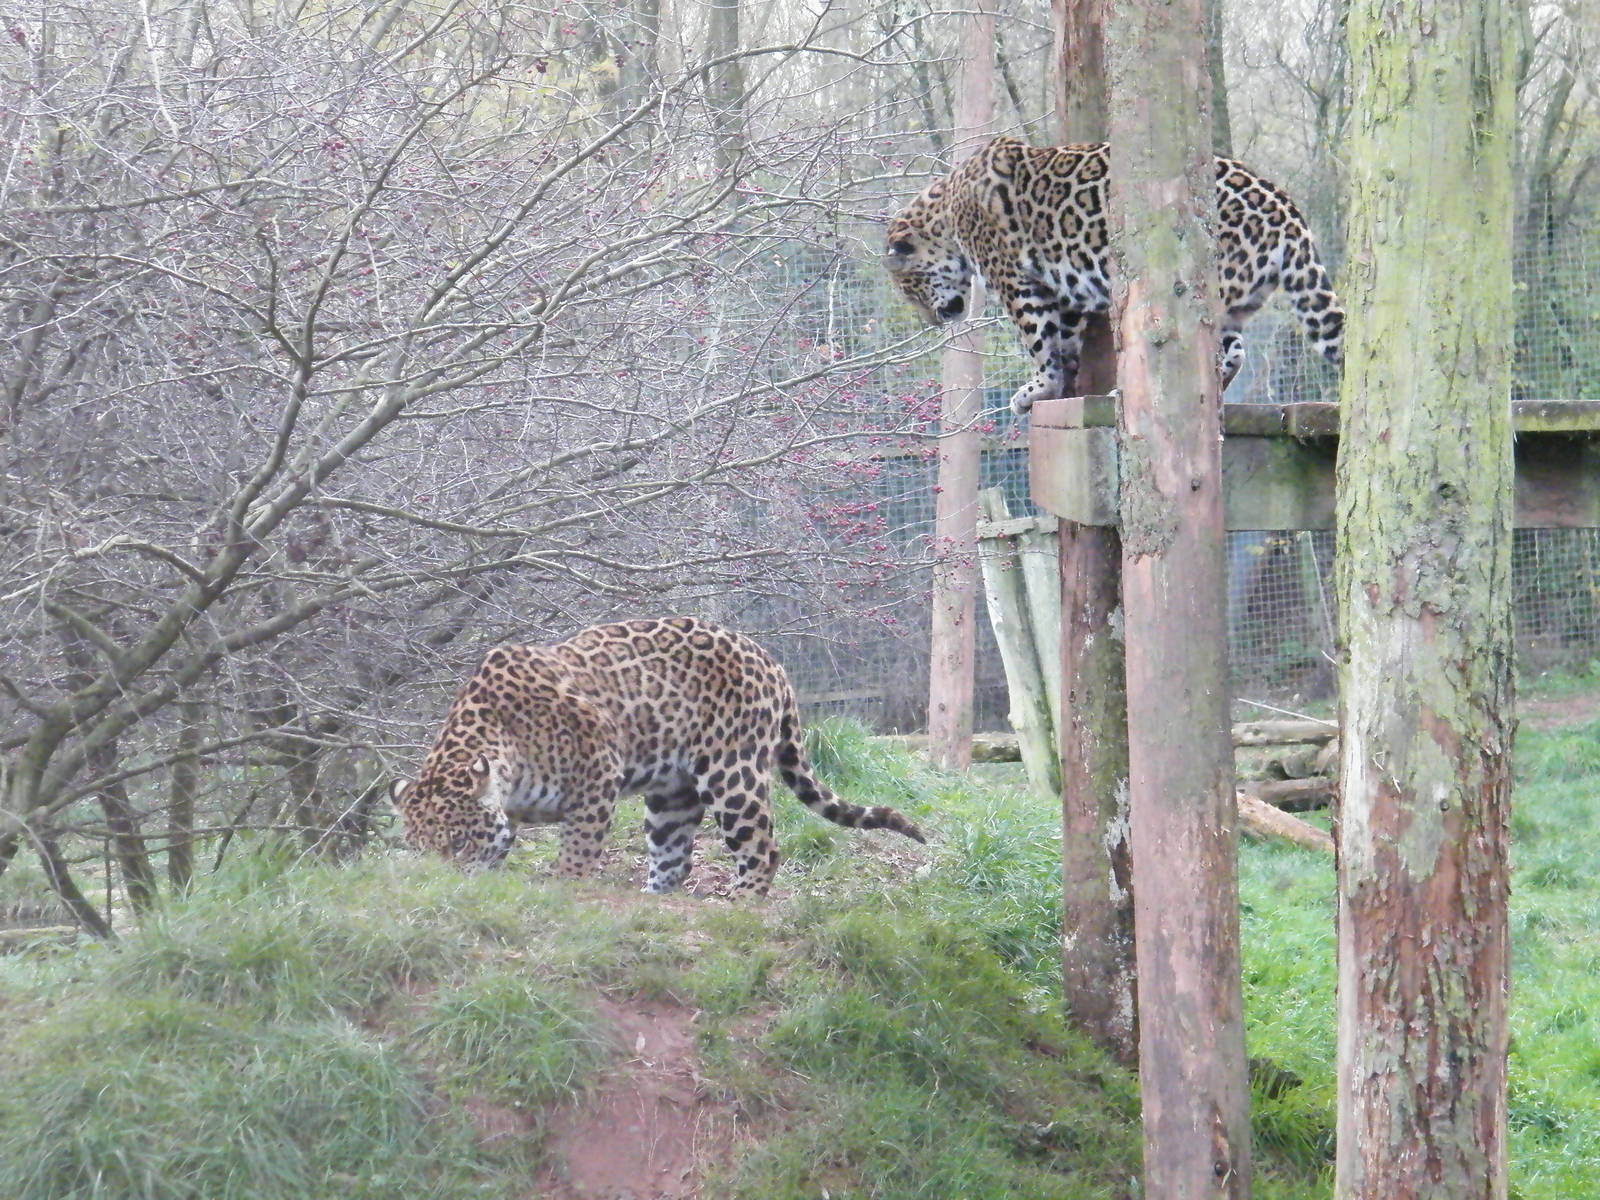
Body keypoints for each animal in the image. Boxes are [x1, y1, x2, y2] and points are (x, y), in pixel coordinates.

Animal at [389, 616, 926, 897]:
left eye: (457, 842)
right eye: (416, 846)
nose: (433, 884)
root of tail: (770, 660)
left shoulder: (597, 775)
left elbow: (578, 850)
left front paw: (567, 888)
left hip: (732, 772)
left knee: (763, 847)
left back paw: (741, 903)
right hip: (672, 795)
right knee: (674, 858)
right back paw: (654, 897)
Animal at [884, 136, 1344, 414]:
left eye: (910, 290)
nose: (933, 321)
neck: (947, 214)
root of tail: (1289, 212)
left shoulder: (1014, 280)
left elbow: (1038, 339)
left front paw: (1038, 389)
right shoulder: (1062, 289)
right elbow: (1063, 340)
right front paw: (1063, 384)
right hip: (1237, 301)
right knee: (1233, 353)